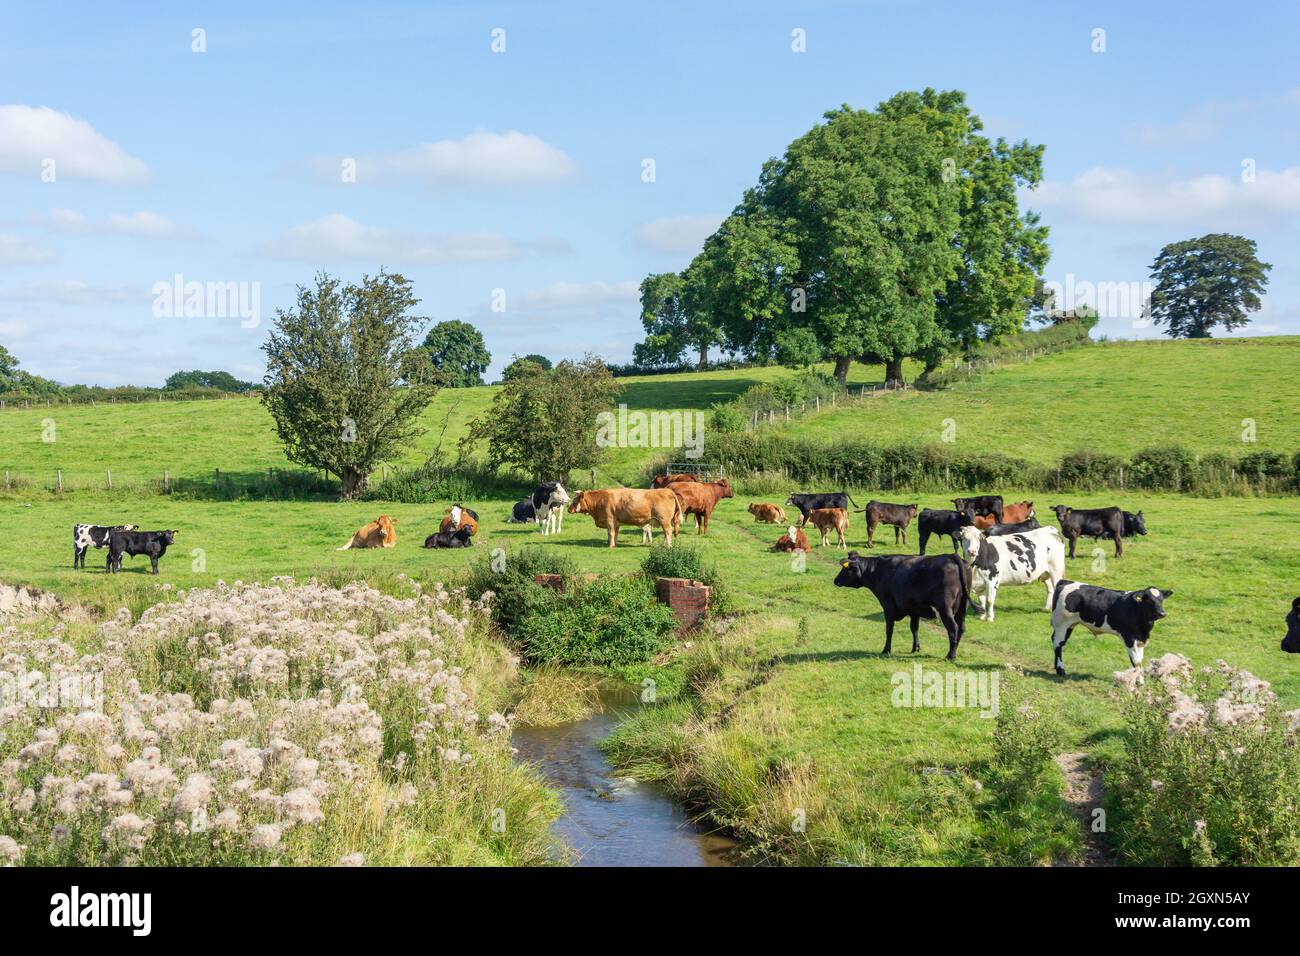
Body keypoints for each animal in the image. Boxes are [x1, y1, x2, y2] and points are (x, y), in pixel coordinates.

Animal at [837, 548, 972, 660]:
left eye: (845, 569)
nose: (835, 580)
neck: (879, 571)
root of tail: (950, 556)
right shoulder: (914, 610)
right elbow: (914, 629)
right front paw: (915, 648)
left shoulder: (888, 607)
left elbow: (889, 629)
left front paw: (886, 650)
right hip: (962, 607)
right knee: (961, 628)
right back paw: (953, 652)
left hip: (945, 608)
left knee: (953, 629)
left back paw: (951, 656)